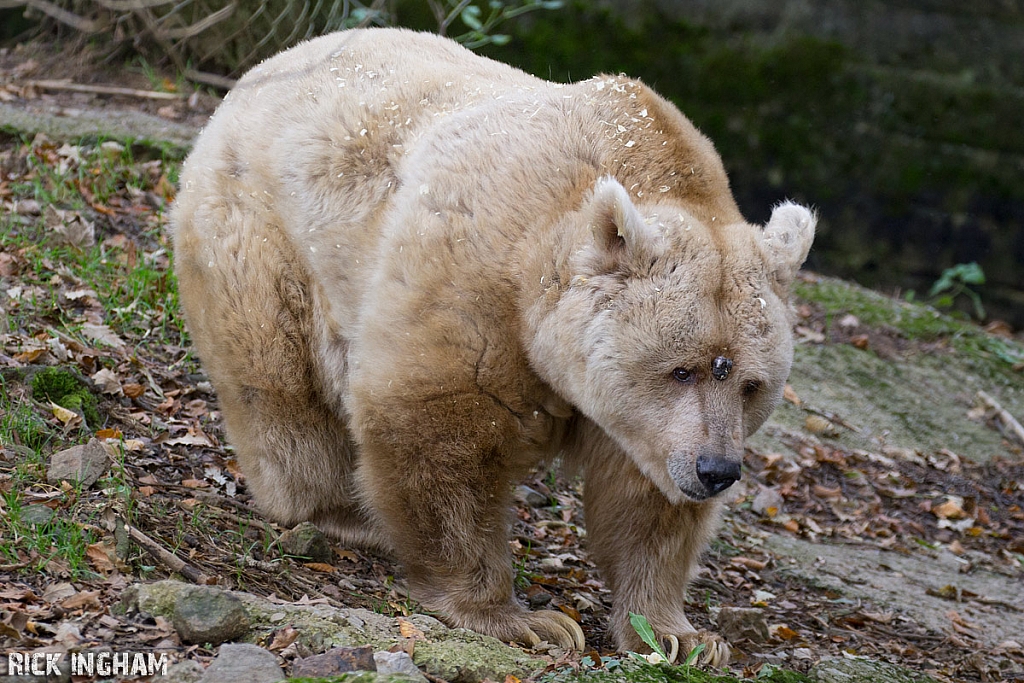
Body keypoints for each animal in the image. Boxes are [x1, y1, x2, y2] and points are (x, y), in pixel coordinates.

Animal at [174, 28, 815, 667]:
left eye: (749, 383)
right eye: (682, 369)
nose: (717, 470)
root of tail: (266, 67)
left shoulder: (638, 424)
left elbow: (646, 504)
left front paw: (680, 635)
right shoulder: (478, 284)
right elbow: (442, 431)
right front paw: (525, 620)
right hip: (264, 234)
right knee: (280, 381)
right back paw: (341, 511)